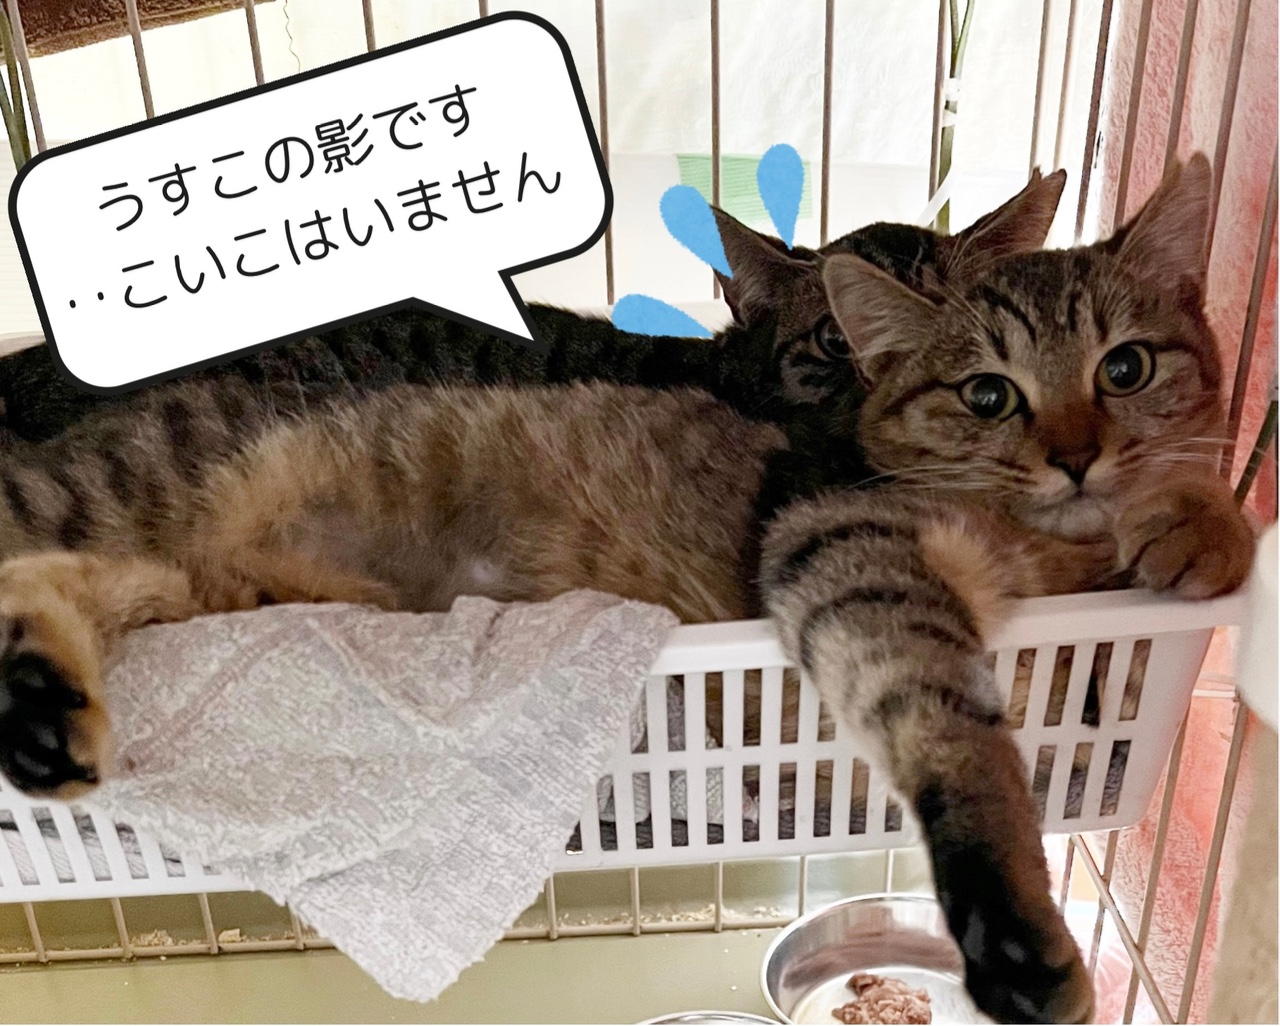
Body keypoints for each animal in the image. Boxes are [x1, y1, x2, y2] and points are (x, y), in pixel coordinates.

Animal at [0, 155, 1253, 1022]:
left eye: (1124, 367)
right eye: (984, 391)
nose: (1076, 454)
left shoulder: (1088, 657)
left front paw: (1196, 526)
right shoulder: (835, 549)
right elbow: (951, 731)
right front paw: (1013, 930)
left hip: (179, 581)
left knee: (71, 583)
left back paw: (45, 711)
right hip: (113, 494)